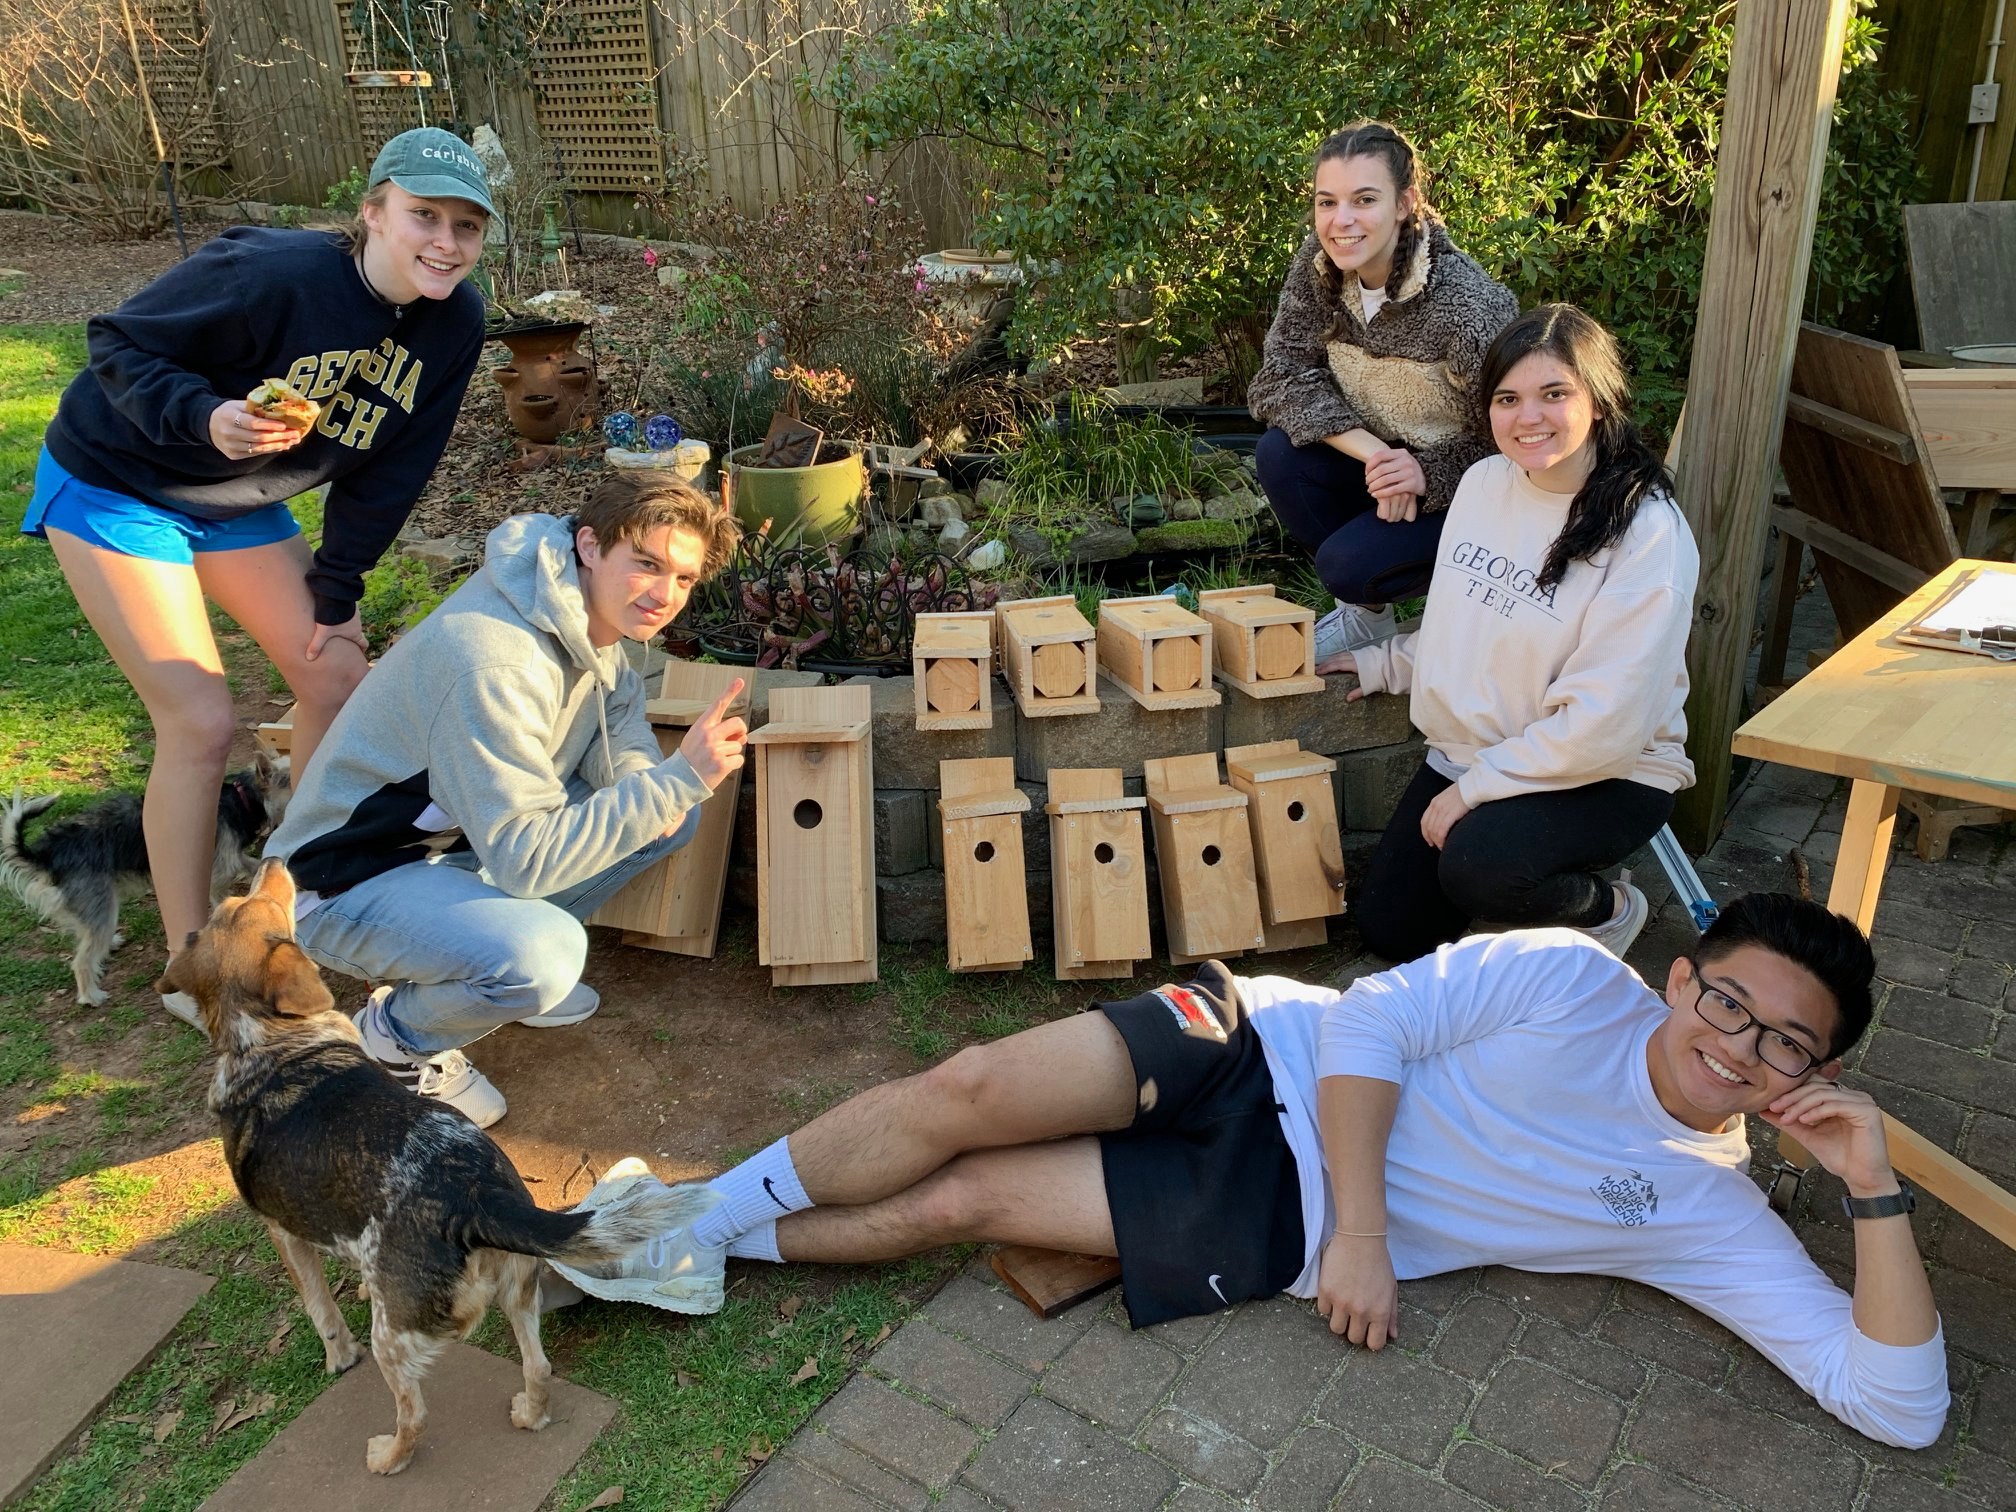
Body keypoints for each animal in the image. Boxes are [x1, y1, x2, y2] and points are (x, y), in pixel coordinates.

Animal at [165, 862, 717, 1483]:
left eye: (247, 903)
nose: (273, 863)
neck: (268, 1039)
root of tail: (476, 1196)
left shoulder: (284, 1233)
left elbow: (320, 1309)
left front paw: (338, 1356)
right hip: (519, 1291)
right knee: (539, 1368)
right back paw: (528, 1415)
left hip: (393, 1339)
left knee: (415, 1416)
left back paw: (388, 1458)